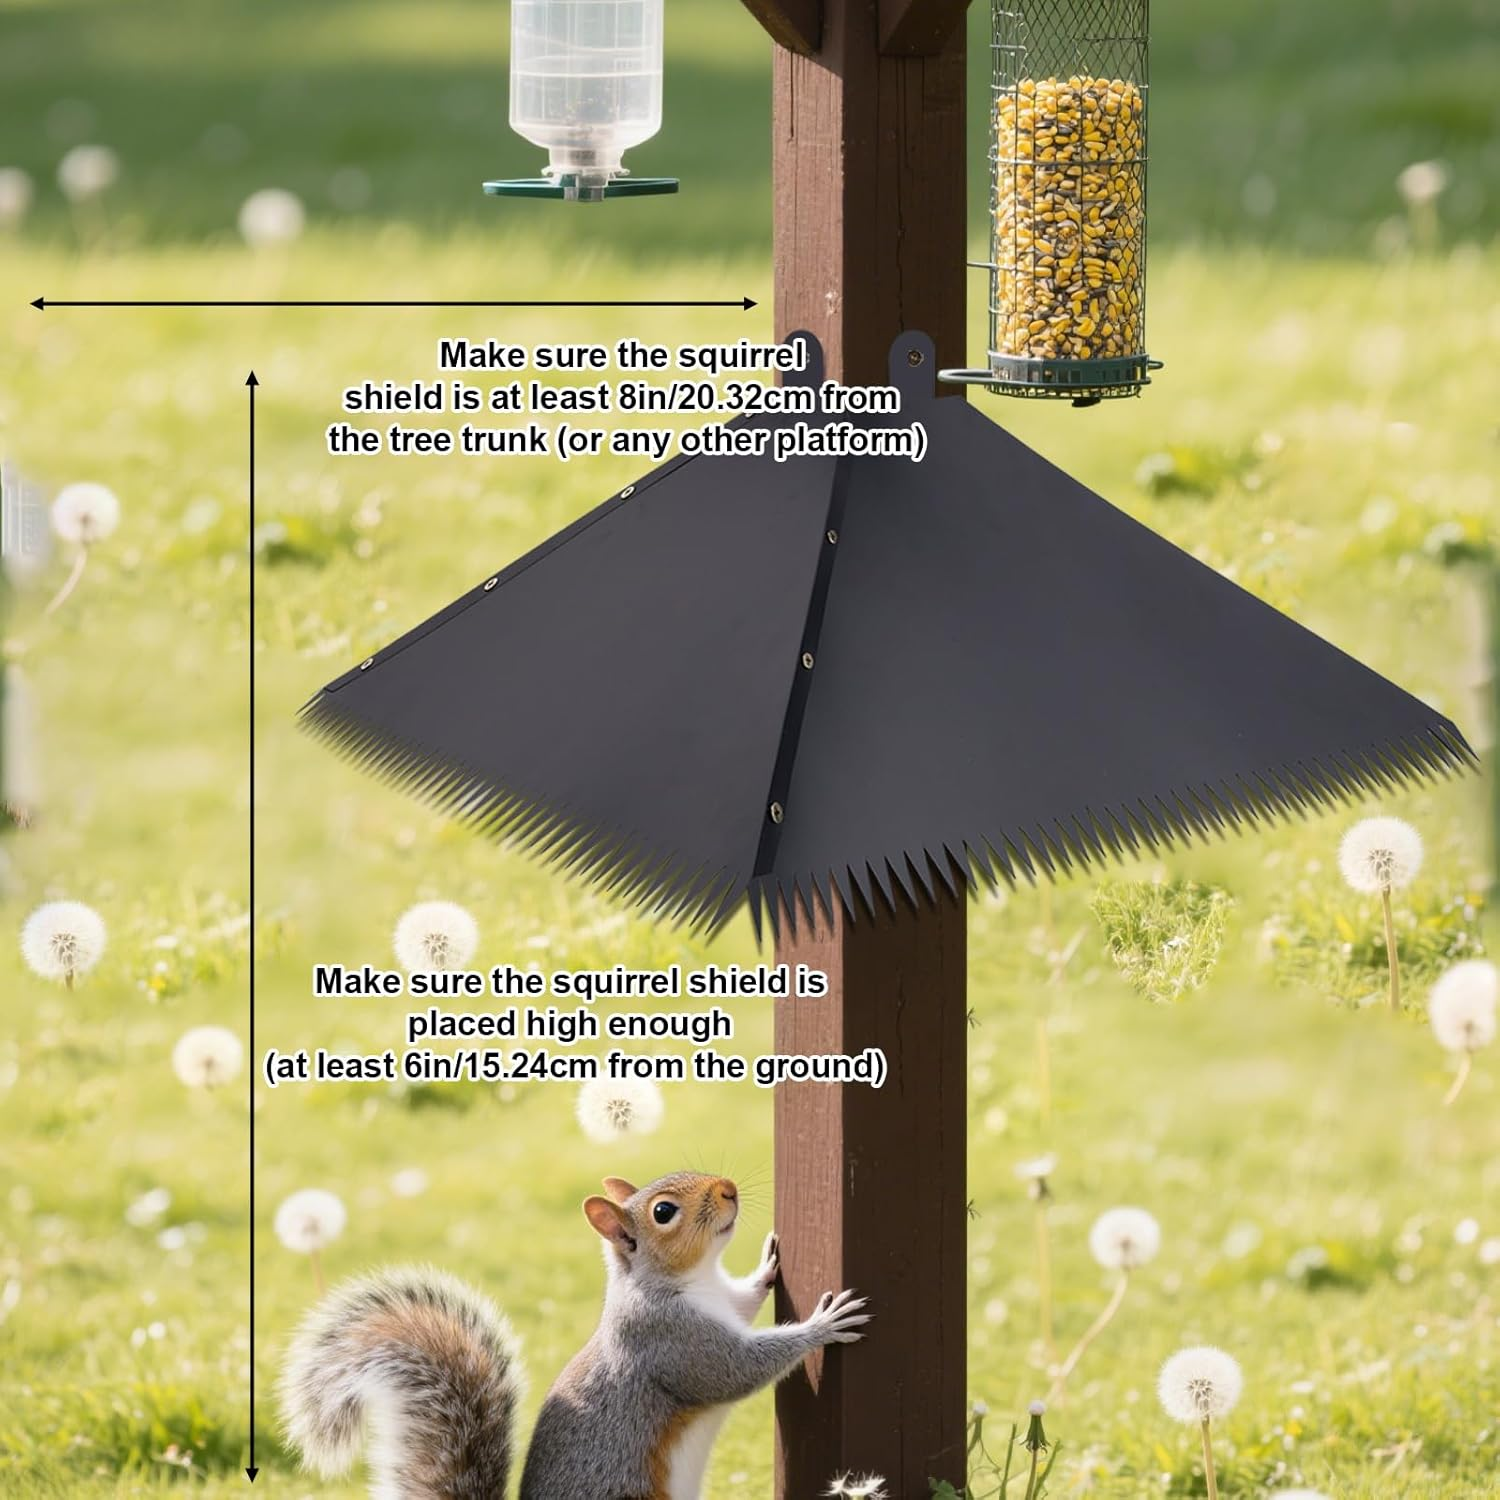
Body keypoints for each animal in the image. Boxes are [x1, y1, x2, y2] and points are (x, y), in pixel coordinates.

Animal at [280, 1170, 871, 1499]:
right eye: (664, 1212)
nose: (728, 1190)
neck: (693, 1282)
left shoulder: (724, 1304)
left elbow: (745, 1300)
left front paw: (767, 1266)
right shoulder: (670, 1342)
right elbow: (735, 1371)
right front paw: (822, 1325)